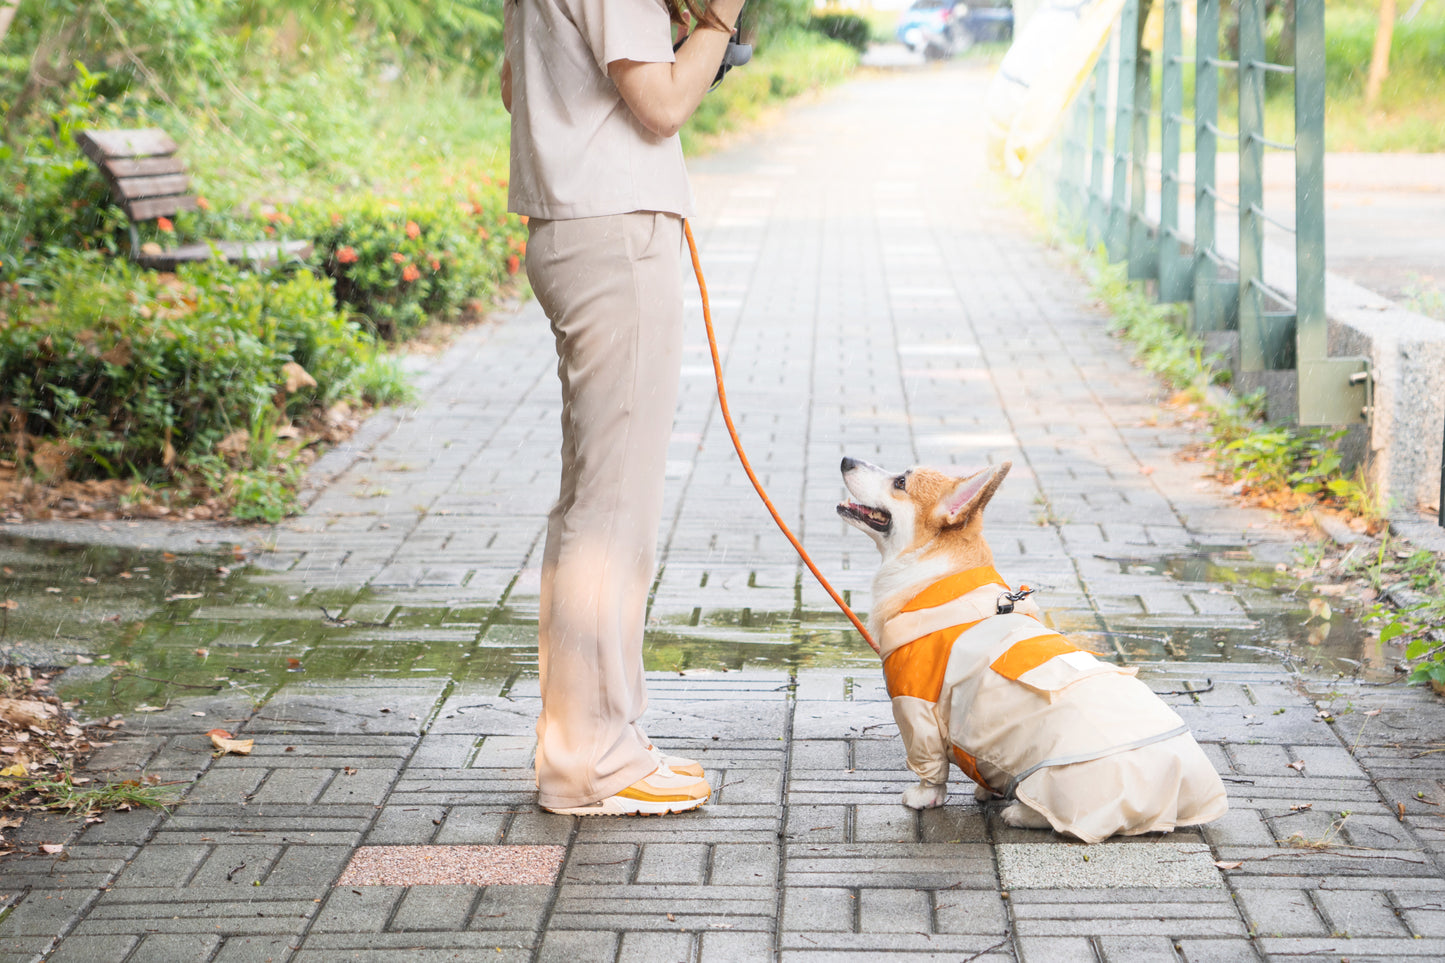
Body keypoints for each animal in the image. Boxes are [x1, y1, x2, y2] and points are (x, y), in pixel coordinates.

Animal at [838, 456, 1231, 838]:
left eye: (900, 482)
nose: (845, 459)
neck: (935, 572)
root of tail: (1178, 787)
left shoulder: (915, 706)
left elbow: (930, 768)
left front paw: (924, 796)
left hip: (1060, 780)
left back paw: (1019, 812)